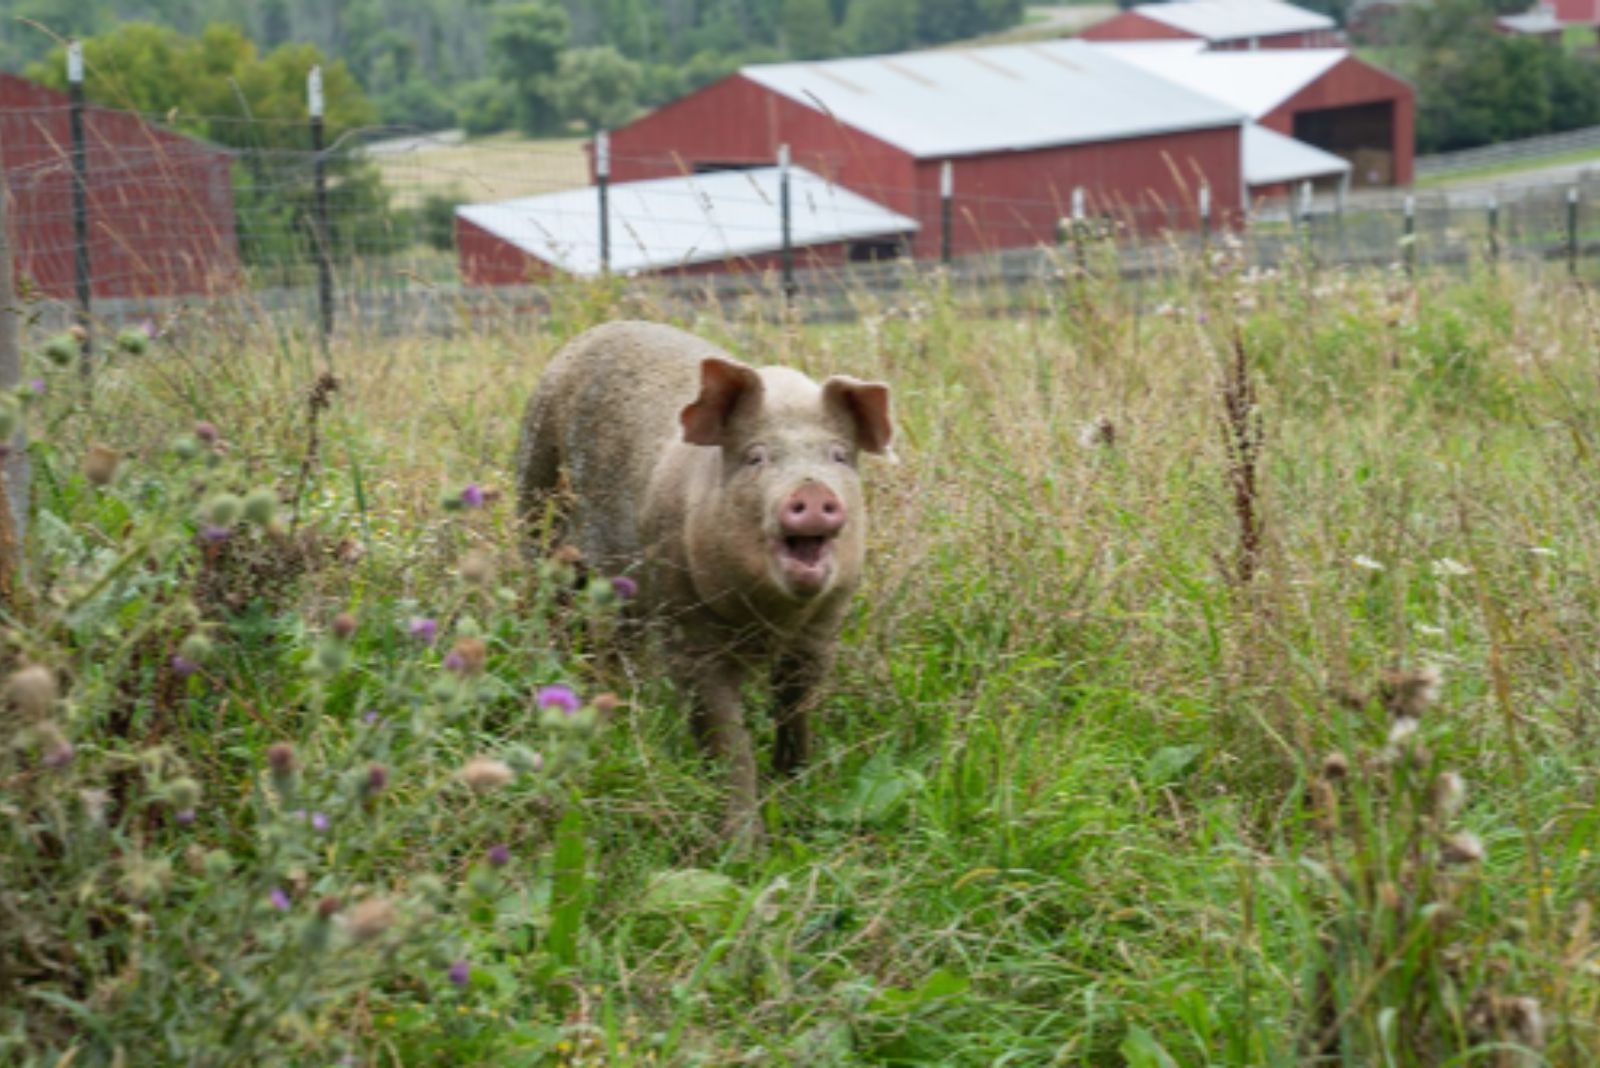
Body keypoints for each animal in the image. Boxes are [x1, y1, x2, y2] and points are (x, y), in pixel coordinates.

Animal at [518, 321, 896, 837]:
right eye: (756, 457)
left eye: (838, 456)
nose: (813, 491)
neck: (769, 622)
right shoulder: (689, 631)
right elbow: (727, 739)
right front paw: (742, 843)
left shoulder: (821, 632)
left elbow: (796, 707)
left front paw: (796, 784)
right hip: (535, 493)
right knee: (553, 606)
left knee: (621, 646)